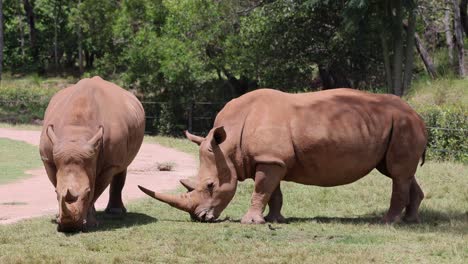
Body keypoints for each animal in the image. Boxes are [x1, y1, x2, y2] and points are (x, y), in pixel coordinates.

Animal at [38, 76, 144, 231]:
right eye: (56, 193)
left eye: (87, 192)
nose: (70, 227)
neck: (76, 135)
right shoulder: (48, 159)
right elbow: (56, 182)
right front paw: (59, 217)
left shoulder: (109, 164)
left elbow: (97, 190)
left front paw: (91, 223)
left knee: (122, 165)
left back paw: (115, 213)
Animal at [139, 88, 428, 225]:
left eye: (210, 186)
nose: (198, 217)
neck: (229, 145)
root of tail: (418, 114)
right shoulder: (271, 159)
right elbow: (272, 192)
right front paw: (274, 220)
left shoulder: (270, 160)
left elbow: (260, 189)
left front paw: (250, 222)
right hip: (397, 126)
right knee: (400, 172)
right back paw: (410, 220)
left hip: (403, 124)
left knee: (398, 174)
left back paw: (388, 222)